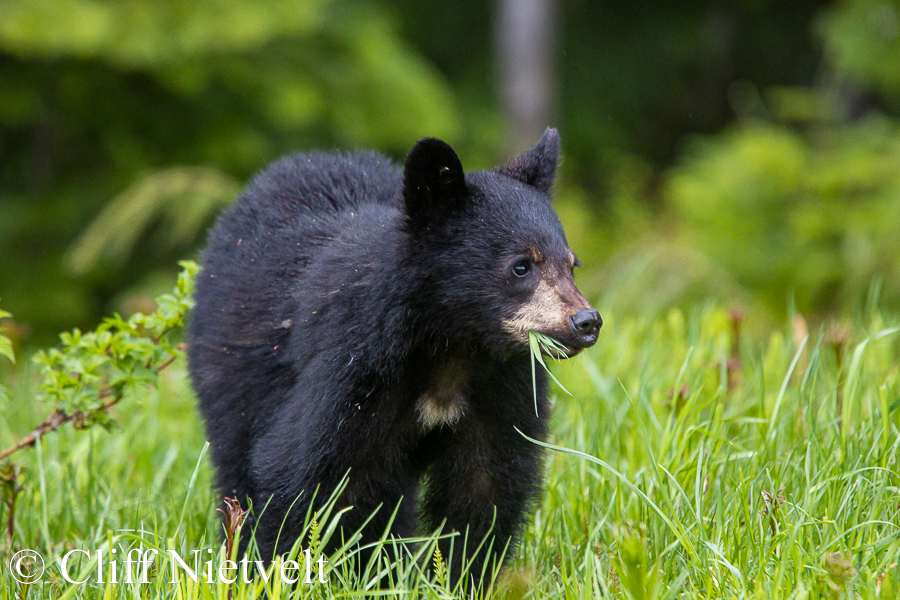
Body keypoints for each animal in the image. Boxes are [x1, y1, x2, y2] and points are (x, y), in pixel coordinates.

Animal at [186, 130, 600, 584]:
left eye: (572, 264)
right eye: (522, 266)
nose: (586, 321)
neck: (452, 345)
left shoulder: (502, 381)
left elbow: (486, 483)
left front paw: (457, 577)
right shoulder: (354, 366)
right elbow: (298, 470)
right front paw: (278, 572)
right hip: (231, 377)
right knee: (237, 459)